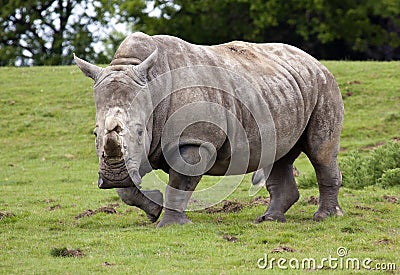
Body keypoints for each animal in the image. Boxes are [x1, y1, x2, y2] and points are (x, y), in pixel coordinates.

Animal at [74, 32, 344, 227]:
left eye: (140, 132)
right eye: (95, 133)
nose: (110, 177)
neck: (152, 85)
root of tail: (314, 61)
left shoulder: (193, 139)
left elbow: (180, 181)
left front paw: (171, 225)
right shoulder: (134, 153)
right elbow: (125, 188)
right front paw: (153, 210)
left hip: (324, 85)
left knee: (320, 152)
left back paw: (324, 217)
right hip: (284, 89)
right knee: (279, 155)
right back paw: (269, 220)